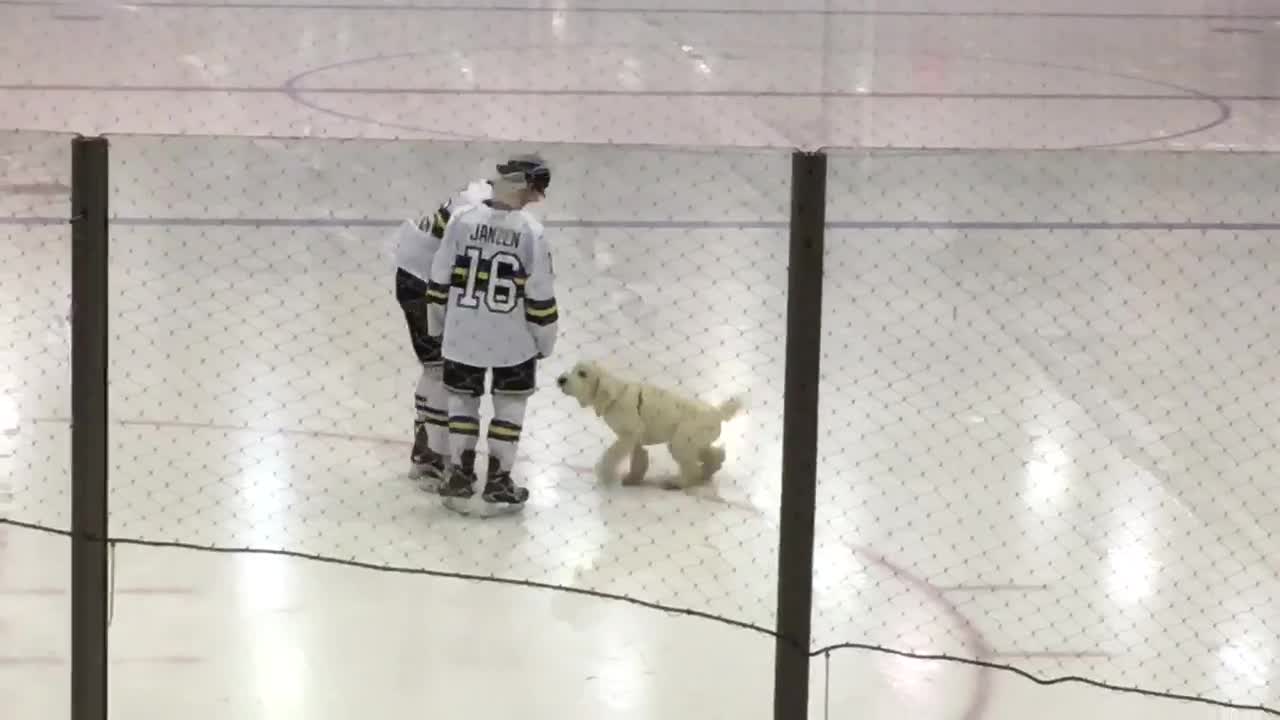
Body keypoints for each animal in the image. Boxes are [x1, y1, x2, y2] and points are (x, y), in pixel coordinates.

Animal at [555, 358, 747, 486]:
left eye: (582, 373)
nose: (560, 380)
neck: (616, 396)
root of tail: (717, 412)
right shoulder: (635, 440)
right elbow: (638, 460)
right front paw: (633, 479)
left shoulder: (628, 436)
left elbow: (611, 455)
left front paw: (605, 474)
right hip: (692, 442)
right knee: (715, 455)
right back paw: (707, 473)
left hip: (681, 444)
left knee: (691, 468)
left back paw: (677, 483)